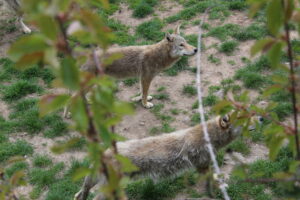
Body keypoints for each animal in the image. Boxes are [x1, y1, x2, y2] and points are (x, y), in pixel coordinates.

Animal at [74, 112, 258, 200]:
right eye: (244, 118)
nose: (262, 118)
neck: (209, 136)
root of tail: (103, 152)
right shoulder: (202, 165)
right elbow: (215, 179)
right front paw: (222, 187)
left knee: (79, 195)